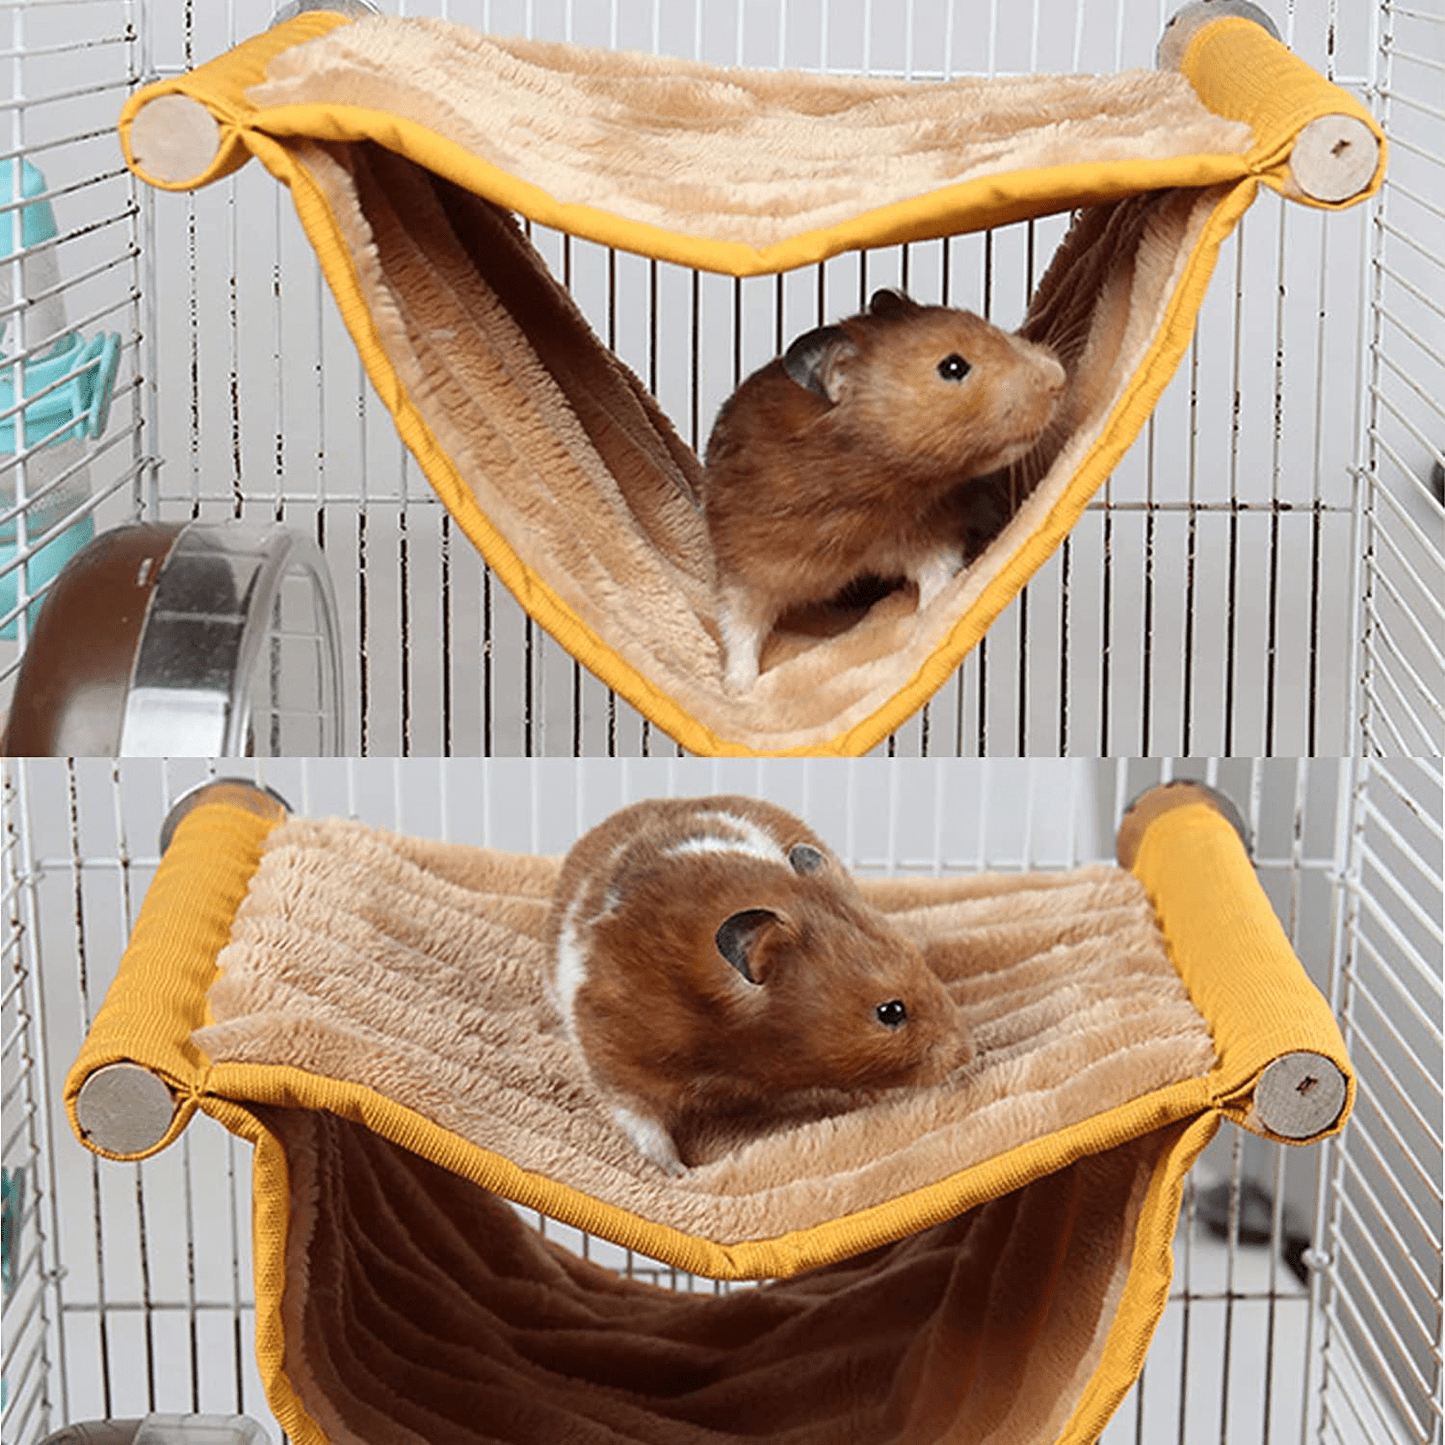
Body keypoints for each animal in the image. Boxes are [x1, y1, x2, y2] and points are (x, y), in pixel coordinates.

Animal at [702, 288, 1067, 691]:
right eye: (953, 367)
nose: (1059, 376)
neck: (869, 492)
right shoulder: (748, 561)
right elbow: (740, 625)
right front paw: (737, 691)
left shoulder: (928, 528)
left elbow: (937, 571)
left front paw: (937, 613)